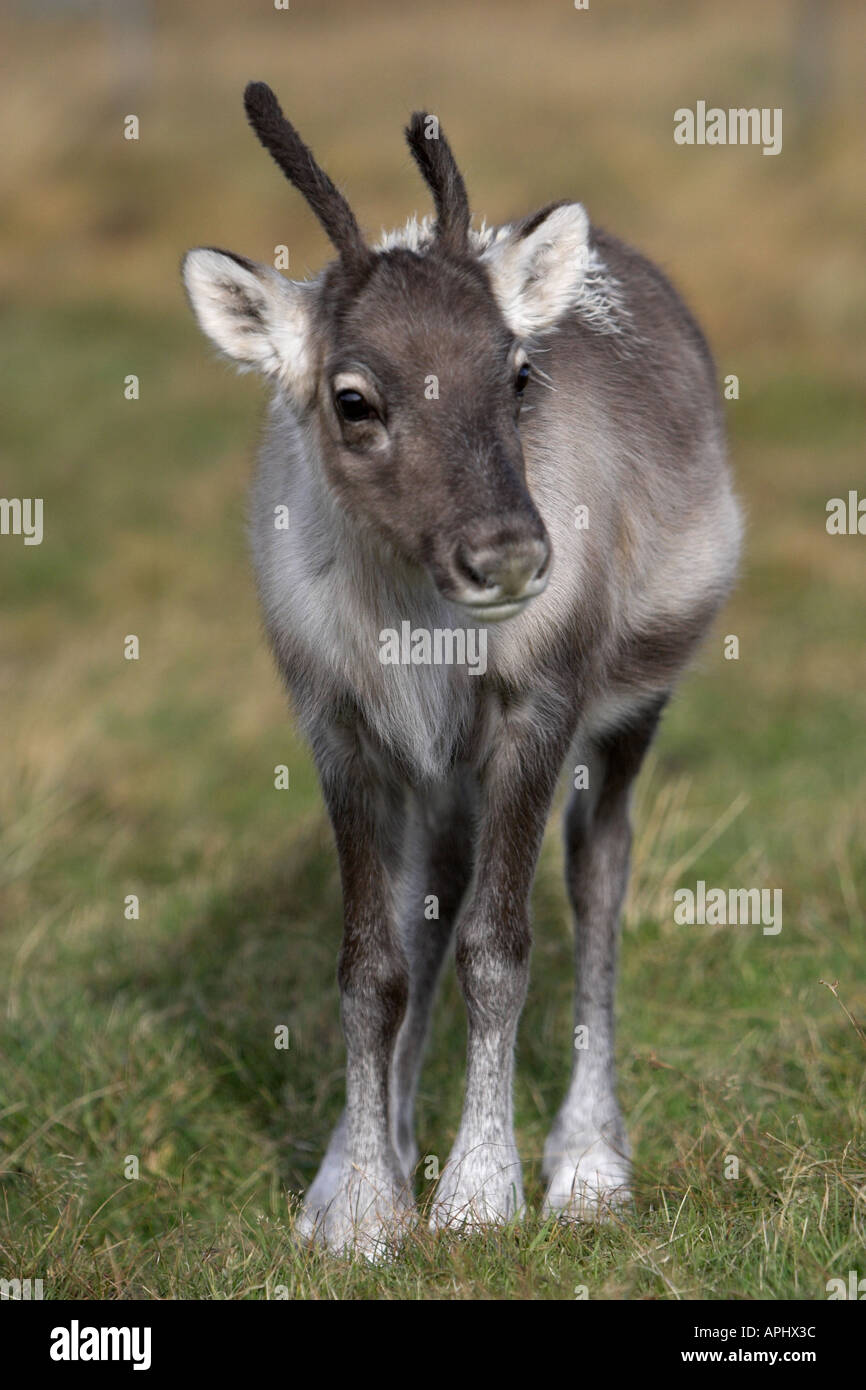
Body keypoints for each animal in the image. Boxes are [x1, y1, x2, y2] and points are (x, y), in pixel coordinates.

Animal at [182, 82, 741, 1258]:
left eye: (517, 372)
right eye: (353, 397)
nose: (512, 555)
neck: (417, 637)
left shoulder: (538, 707)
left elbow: (498, 945)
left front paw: (482, 1194)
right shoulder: (343, 727)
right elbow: (373, 961)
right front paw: (358, 1204)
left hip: (626, 713)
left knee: (598, 876)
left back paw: (588, 1161)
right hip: (438, 771)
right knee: (427, 910)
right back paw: (374, 1153)